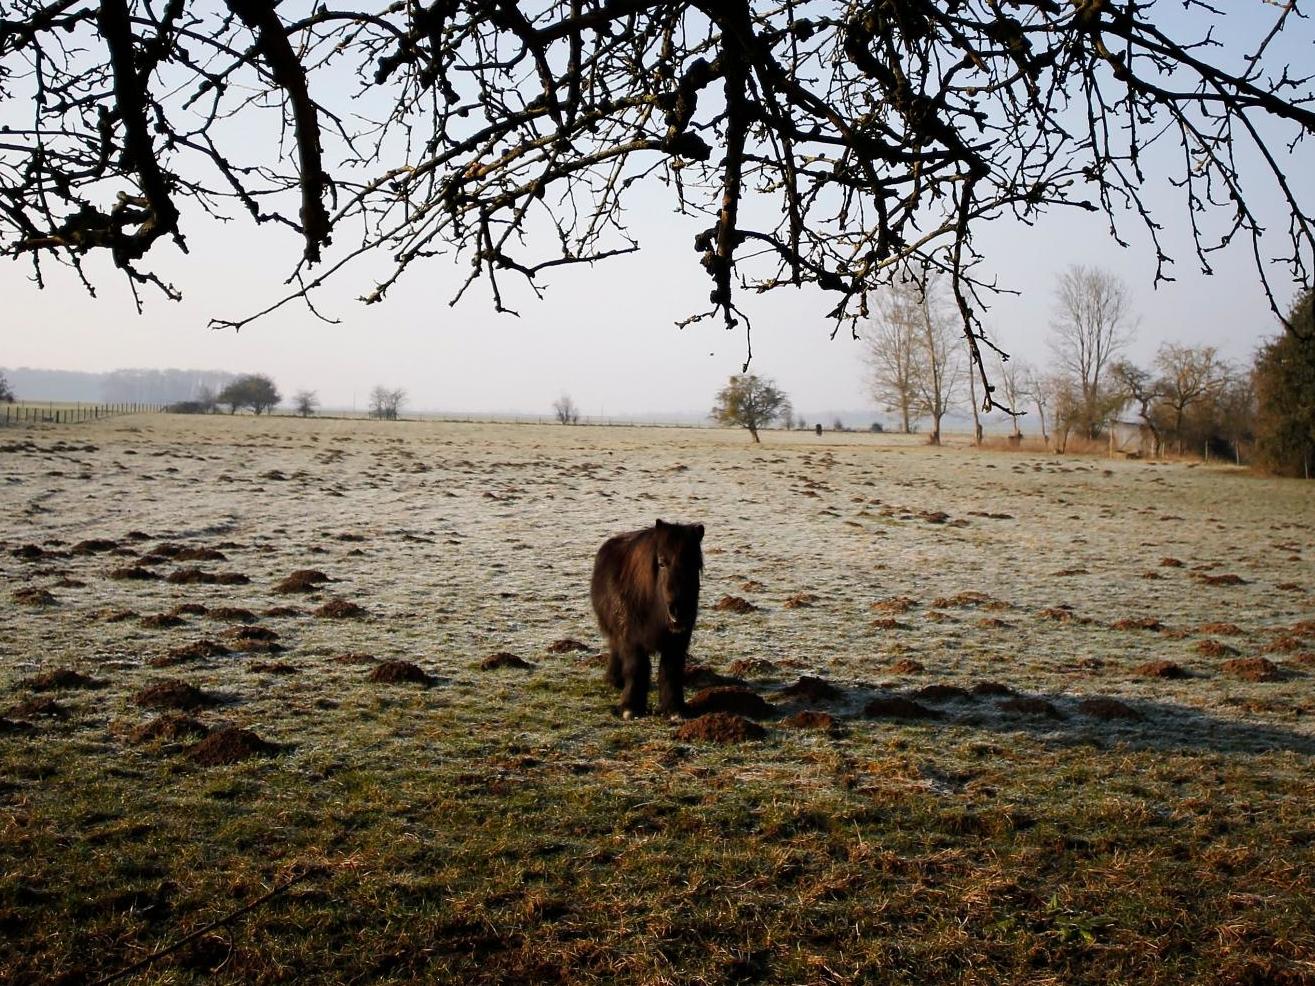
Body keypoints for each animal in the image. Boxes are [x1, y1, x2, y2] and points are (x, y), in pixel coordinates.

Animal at [591, 517, 704, 720]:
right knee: (615, 649)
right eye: (662, 563)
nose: (679, 611)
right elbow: (637, 669)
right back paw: (614, 680)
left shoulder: (677, 642)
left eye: (696, 565)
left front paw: (674, 709)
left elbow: (671, 671)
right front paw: (630, 708)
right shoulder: (632, 640)